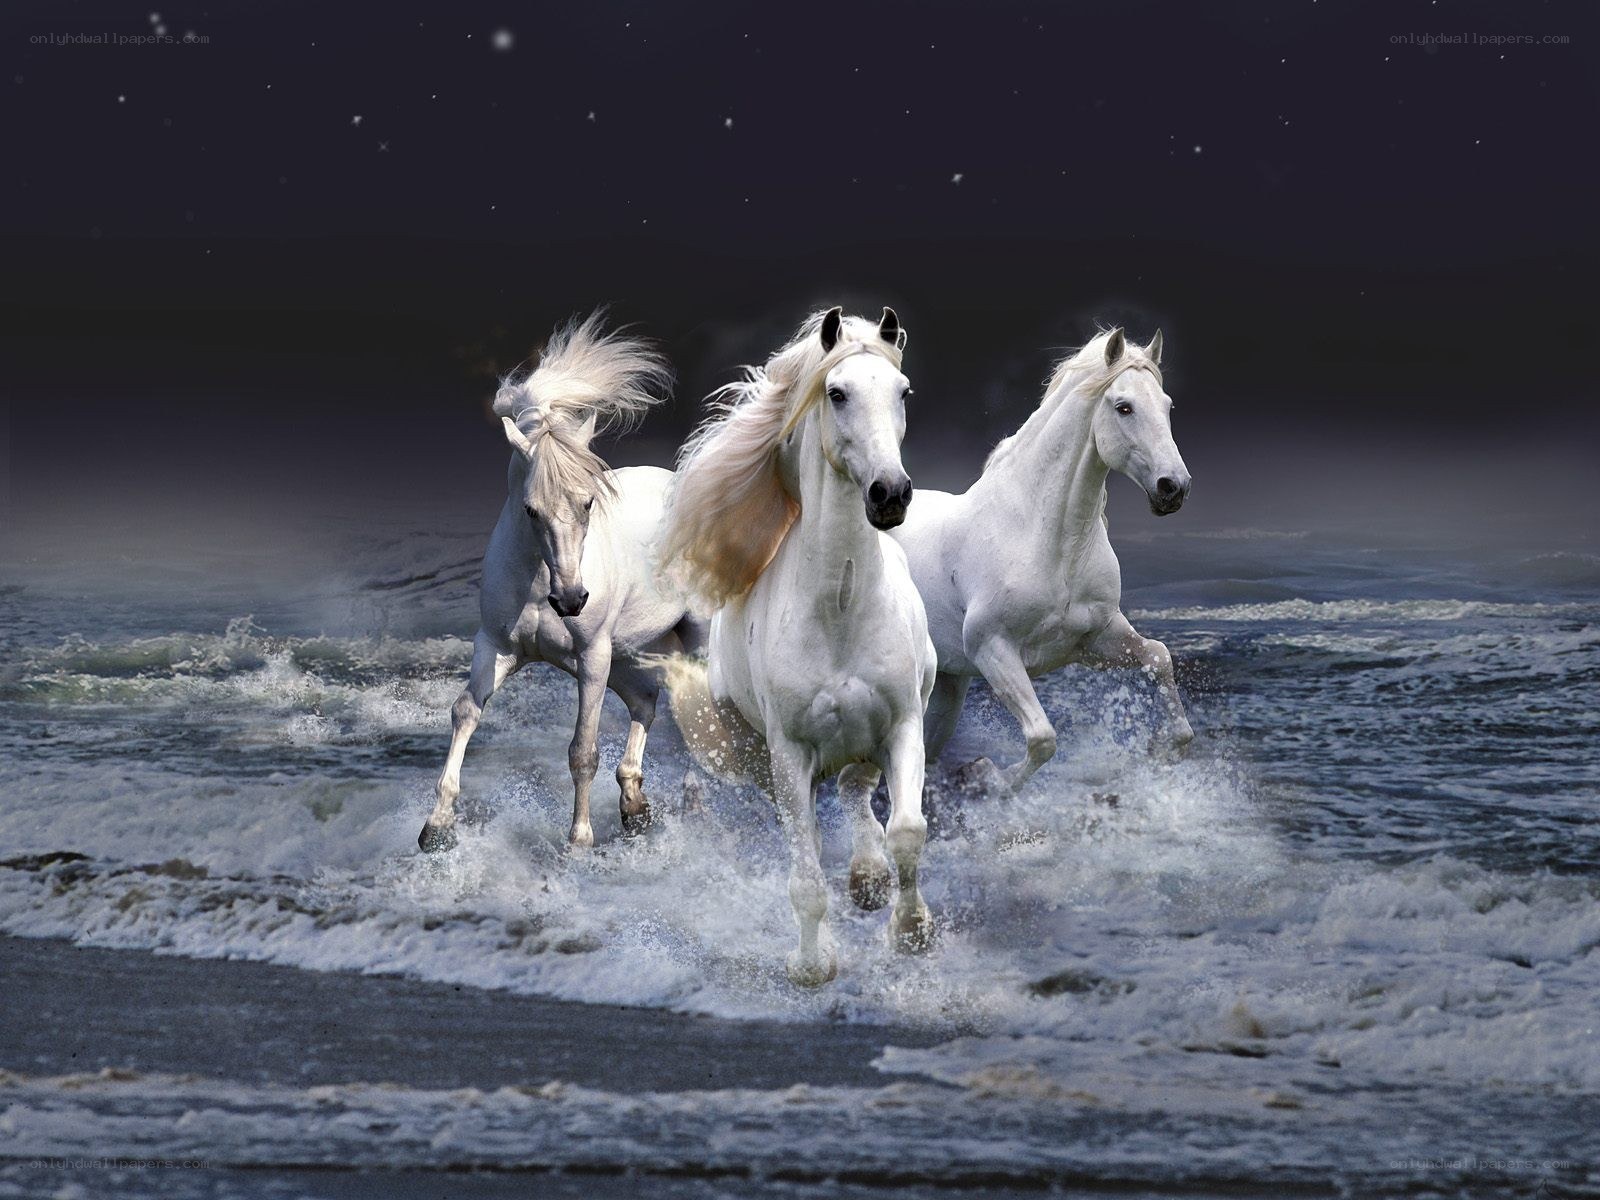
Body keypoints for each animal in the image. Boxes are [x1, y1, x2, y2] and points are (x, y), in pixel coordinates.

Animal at [418, 312, 707, 853]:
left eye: (588, 502)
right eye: (531, 509)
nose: (571, 599)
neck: (538, 583)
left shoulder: (591, 656)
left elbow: (582, 750)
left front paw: (579, 842)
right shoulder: (497, 647)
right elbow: (465, 712)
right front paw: (436, 827)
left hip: (686, 640)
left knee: (698, 711)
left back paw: (691, 802)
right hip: (628, 652)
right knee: (647, 701)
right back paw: (634, 806)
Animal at [658, 307, 937, 987]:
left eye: (903, 391)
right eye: (836, 393)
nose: (890, 494)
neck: (840, 608)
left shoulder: (903, 724)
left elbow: (907, 831)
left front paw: (911, 932)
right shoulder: (789, 754)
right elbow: (806, 875)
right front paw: (813, 966)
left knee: (857, 790)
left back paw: (868, 879)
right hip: (761, 756)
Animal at [889, 328, 1194, 794]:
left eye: (1167, 405)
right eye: (1124, 407)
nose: (1173, 488)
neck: (1047, 541)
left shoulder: (1095, 639)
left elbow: (1159, 658)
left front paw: (1160, 751)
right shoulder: (993, 649)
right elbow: (1042, 738)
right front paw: (986, 776)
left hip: (947, 686)